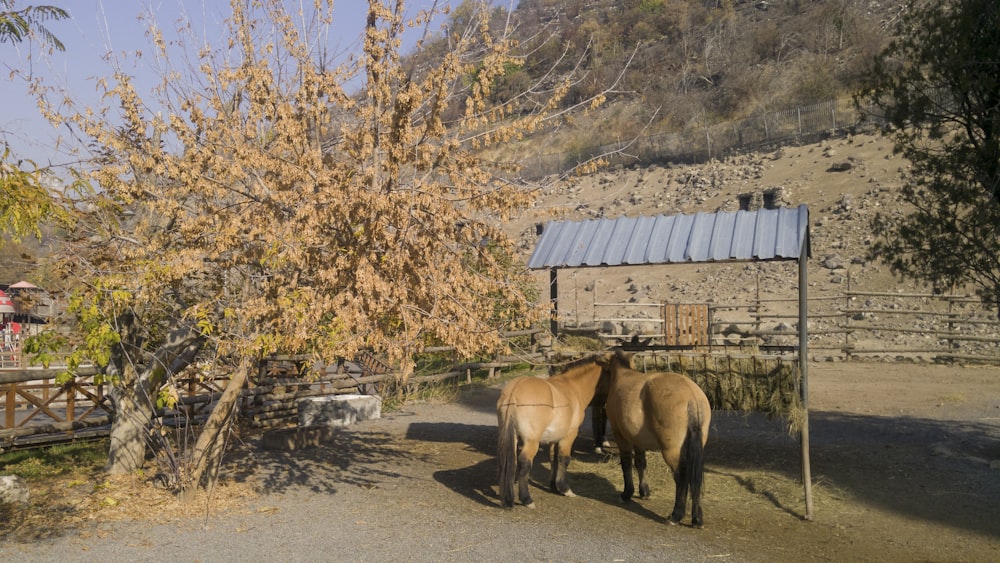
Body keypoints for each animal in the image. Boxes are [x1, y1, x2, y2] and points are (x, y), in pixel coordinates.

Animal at [498, 356, 612, 512]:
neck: (573, 387)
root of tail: (514, 391)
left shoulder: (553, 439)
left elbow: (553, 459)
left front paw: (553, 486)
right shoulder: (569, 435)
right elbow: (564, 459)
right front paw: (564, 489)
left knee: (511, 461)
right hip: (531, 442)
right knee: (524, 463)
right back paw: (527, 499)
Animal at [600, 350, 712, 528]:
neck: (624, 375)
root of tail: (691, 397)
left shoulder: (622, 436)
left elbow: (626, 464)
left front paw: (627, 493)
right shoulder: (638, 440)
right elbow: (640, 463)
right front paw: (644, 491)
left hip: (671, 451)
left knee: (681, 477)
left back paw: (675, 515)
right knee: (694, 478)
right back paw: (697, 519)